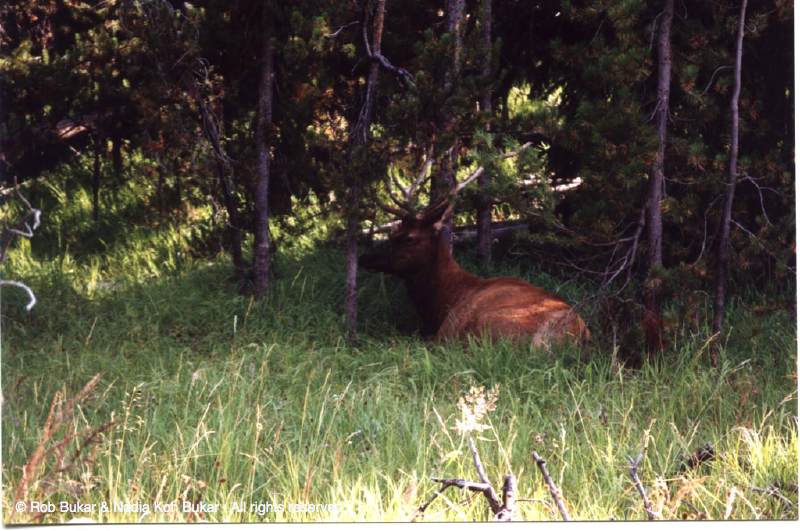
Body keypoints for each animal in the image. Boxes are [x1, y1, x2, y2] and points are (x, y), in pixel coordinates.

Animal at [359, 145, 590, 347]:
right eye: (392, 234)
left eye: (408, 238)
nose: (365, 257)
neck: (442, 301)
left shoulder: (447, 329)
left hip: (486, 326)